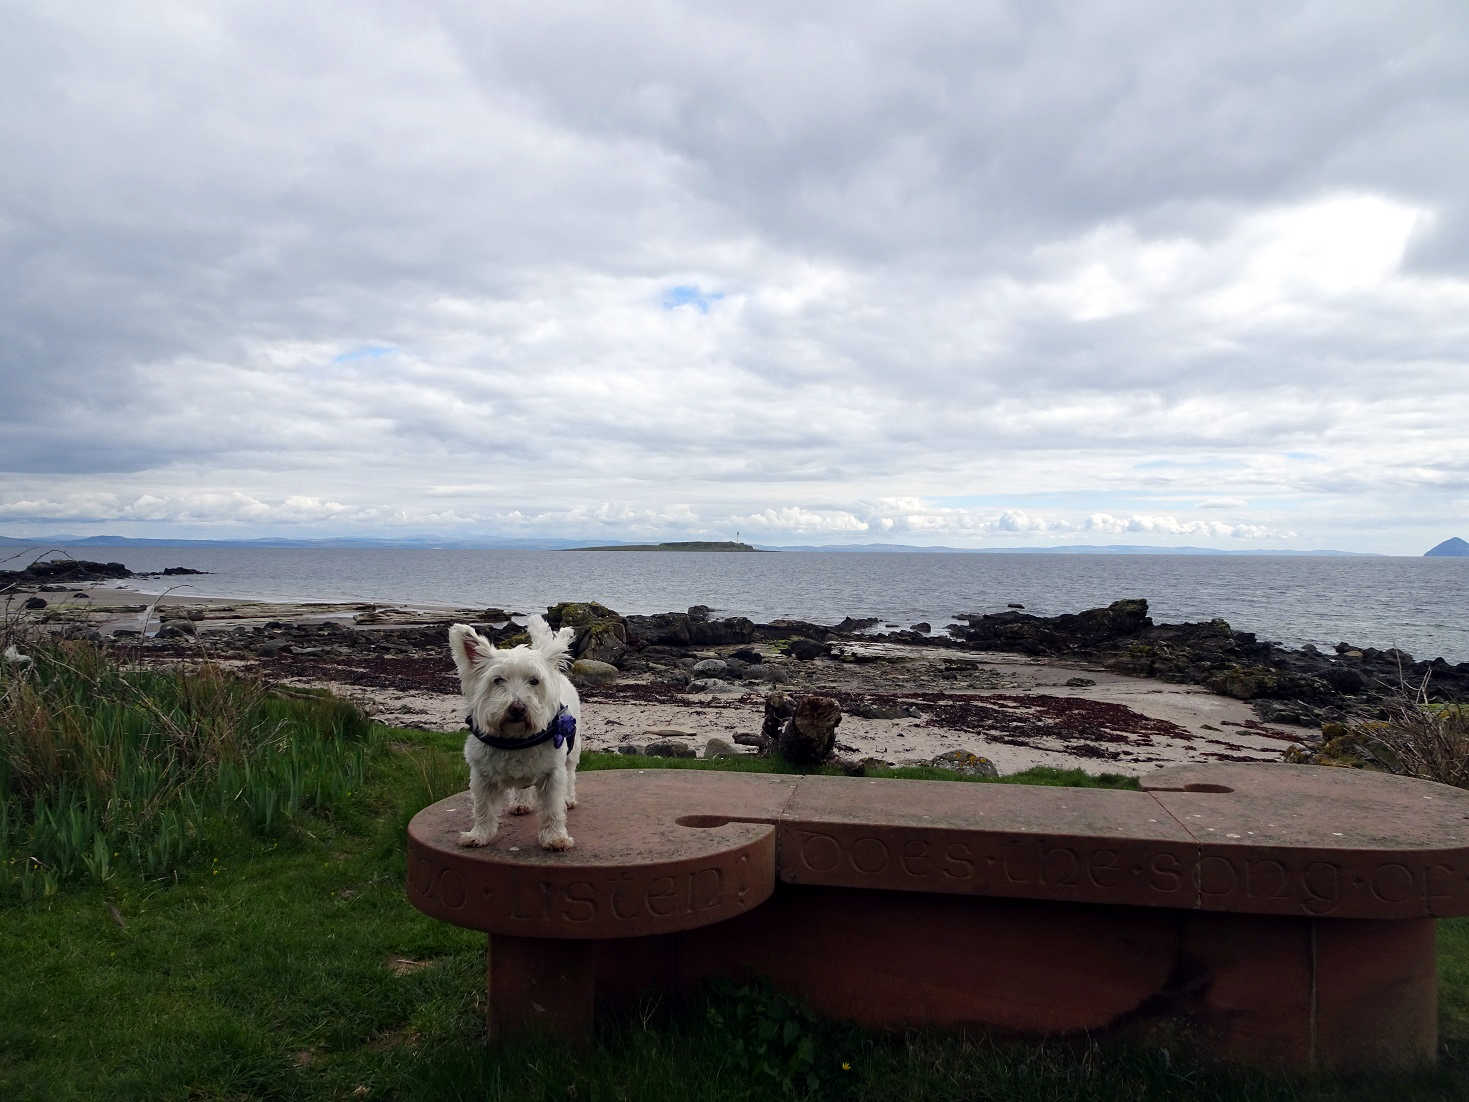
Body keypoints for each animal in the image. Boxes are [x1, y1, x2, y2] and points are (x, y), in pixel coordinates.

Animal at [446, 617, 578, 852]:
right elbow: (483, 809)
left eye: (534, 681)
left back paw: (569, 799)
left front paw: (555, 838)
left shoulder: (553, 774)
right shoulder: (482, 777)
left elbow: (552, 810)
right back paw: (521, 803)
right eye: (498, 680)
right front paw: (478, 835)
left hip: (572, 751)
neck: (515, 740)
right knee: (523, 787)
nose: (517, 708)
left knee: (570, 775)